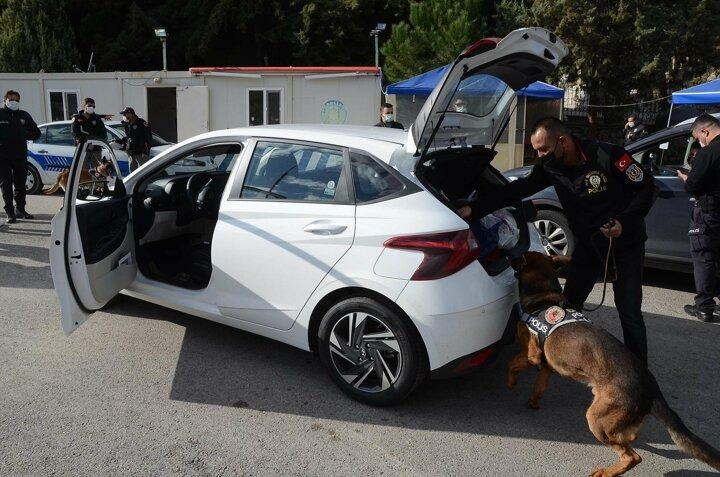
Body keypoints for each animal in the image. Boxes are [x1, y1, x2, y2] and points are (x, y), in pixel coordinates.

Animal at [507, 251, 720, 476]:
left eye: (519, 256)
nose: (507, 255)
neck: (544, 293)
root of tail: (651, 388)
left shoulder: (532, 355)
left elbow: (512, 361)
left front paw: (511, 383)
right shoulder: (547, 366)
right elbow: (539, 386)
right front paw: (533, 402)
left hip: (596, 419)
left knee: (632, 456)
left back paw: (607, 472)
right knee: (629, 438)